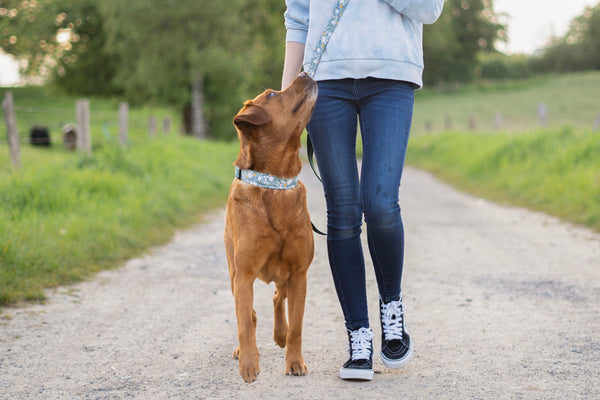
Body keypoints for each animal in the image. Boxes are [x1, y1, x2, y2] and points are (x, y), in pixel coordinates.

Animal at [225, 72, 318, 384]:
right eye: (273, 95)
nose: (304, 72)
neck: (275, 180)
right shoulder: (244, 275)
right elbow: (245, 321)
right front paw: (249, 364)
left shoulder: (299, 274)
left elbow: (298, 327)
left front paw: (295, 361)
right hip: (233, 273)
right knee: (250, 314)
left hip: (285, 277)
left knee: (279, 297)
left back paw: (280, 335)